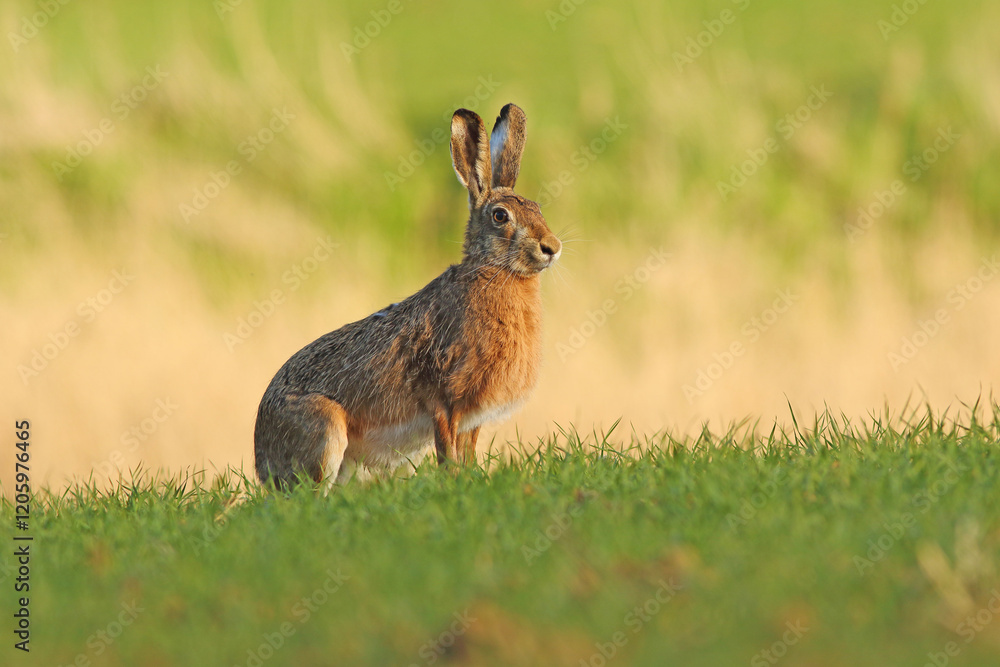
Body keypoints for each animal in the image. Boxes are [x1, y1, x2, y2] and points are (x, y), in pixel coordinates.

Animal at [253, 103, 561, 489]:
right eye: (500, 216)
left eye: (538, 209)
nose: (552, 247)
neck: (495, 271)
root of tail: (261, 459)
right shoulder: (443, 400)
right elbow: (447, 453)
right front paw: (452, 484)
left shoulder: (472, 417)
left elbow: (467, 454)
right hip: (325, 426)